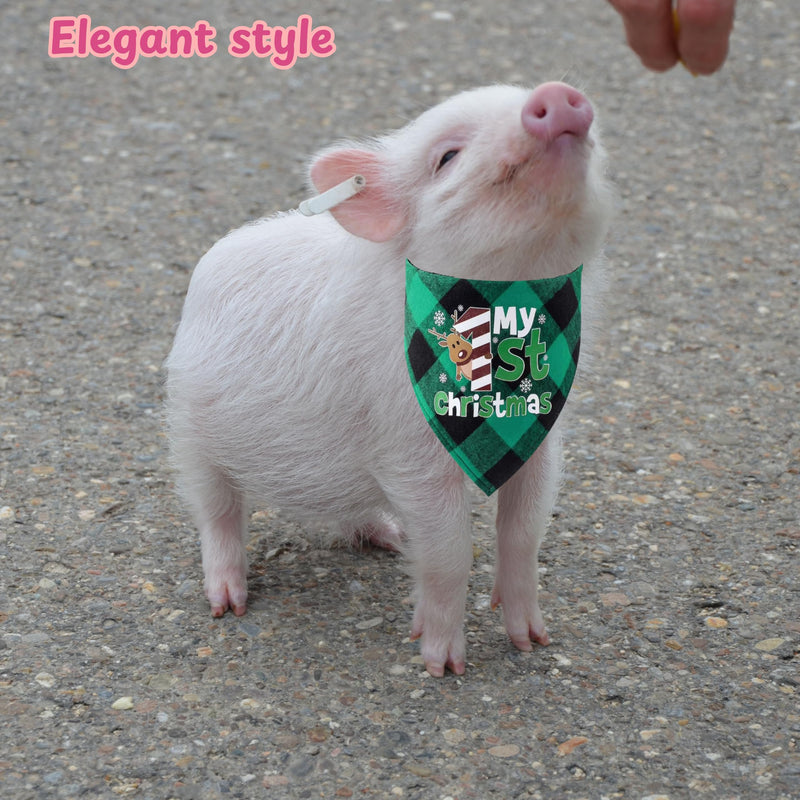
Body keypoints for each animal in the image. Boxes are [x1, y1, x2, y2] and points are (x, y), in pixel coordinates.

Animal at [165, 82, 614, 677]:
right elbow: (449, 551)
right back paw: (227, 604)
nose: (557, 94)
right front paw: (443, 666)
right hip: (188, 426)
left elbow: (524, 532)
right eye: (446, 157)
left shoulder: (541, 437)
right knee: (215, 511)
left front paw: (532, 643)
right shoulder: (409, 451)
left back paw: (391, 537)